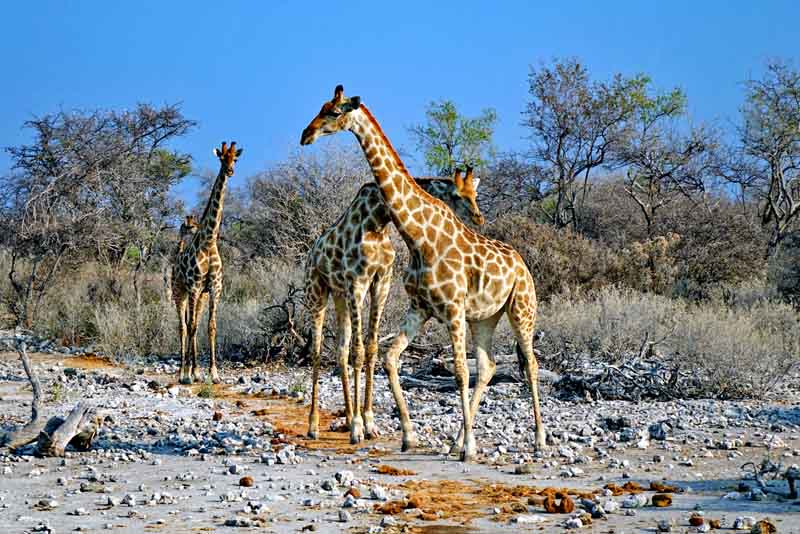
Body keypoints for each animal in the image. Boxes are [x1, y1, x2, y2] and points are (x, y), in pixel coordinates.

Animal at [172, 142, 242, 385]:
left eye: (235, 159)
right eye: (222, 158)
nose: (230, 171)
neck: (210, 240)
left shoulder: (214, 288)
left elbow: (210, 327)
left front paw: (213, 373)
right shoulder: (194, 287)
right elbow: (191, 326)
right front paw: (189, 373)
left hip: (199, 296)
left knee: (193, 324)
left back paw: (193, 371)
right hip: (180, 292)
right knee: (183, 326)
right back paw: (182, 372)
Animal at [305, 168, 484, 444]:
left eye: (475, 193)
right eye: (457, 195)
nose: (478, 217)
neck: (378, 219)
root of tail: (312, 252)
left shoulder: (382, 280)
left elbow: (370, 347)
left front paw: (368, 423)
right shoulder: (357, 281)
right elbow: (359, 351)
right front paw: (358, 428)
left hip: (339, 295)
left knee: (340, 350)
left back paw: (347, 418)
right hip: (317, 291)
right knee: (316, 351)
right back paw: (314, 425)